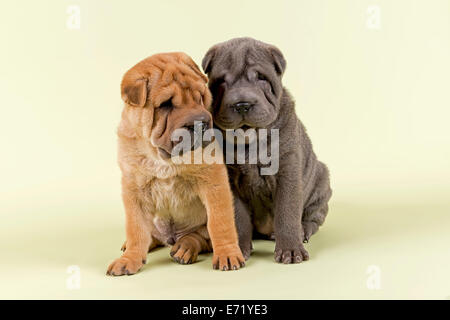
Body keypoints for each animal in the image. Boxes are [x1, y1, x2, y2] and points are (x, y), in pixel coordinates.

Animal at [107, 52, 244, 276]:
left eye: (200, 97)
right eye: (166, 105)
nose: (201, 122)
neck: (161, 157)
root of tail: (172, 238)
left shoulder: (214, 181)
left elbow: (220, 223)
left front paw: (227, 254)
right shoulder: (134, 190)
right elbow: (136, 229)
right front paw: (129, 259)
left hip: (197, 229)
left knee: (198, 237)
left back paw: (184, 249)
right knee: (150, 235)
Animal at [202, 37, 332, 264]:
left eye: (261, 78)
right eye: (222, 82)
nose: (242, 104)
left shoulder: (287, 170)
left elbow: (287, 212)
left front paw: (291, 250)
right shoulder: (229, 180)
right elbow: (238, 218)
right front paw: (238, 249)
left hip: (321, 182)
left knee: (313, 216)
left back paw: (304, 230)